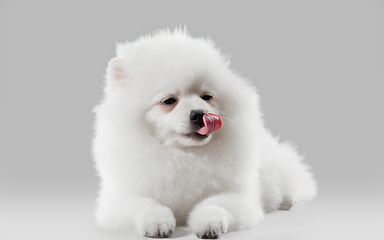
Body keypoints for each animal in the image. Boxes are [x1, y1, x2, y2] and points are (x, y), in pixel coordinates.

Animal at [91, 28, 316, 238]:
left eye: (207, 97)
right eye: (169, 101)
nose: (200, 114)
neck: (184, 155)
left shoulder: (236, 194)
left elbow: (213, 205)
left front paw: (209, 224)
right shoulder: (119, 198)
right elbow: (146, 205)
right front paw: (157, 223)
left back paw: (287, 200)